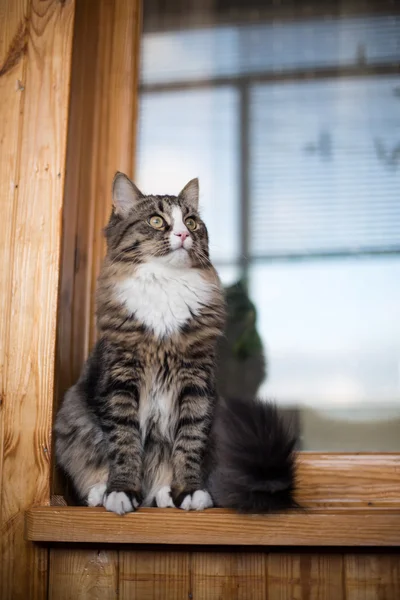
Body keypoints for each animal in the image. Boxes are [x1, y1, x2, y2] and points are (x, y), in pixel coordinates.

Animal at [54, 173, 296, 516]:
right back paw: (103, 492)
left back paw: (164, 494)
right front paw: (121, 491)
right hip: (73, 417)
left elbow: (188, 443)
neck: (166, 284)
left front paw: (188, 491)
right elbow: (124, 443)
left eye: (192, 222)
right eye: (157, 221)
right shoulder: (121, 380)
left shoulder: (195, 383)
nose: (183, 234)